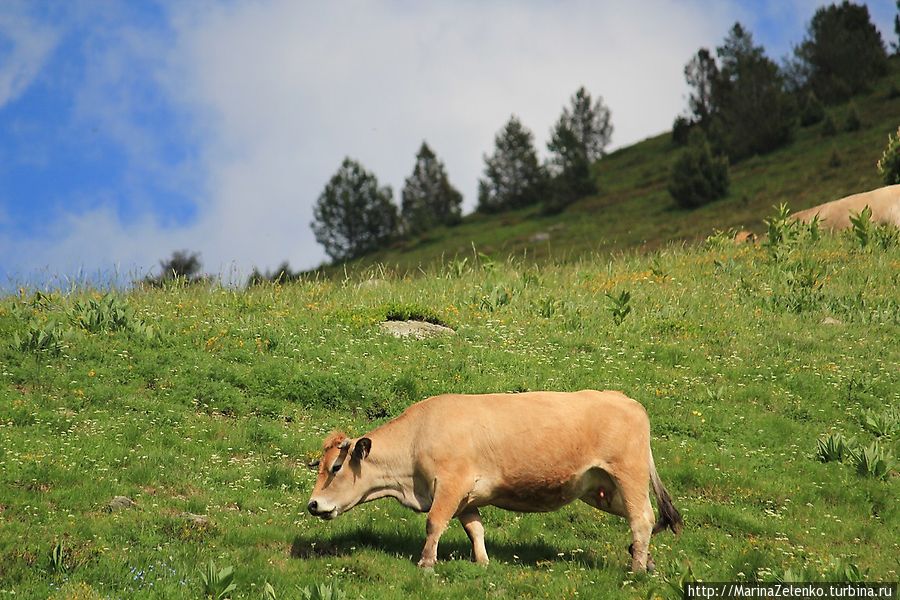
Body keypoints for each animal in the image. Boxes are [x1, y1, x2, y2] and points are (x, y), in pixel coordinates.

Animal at [308, 390, 684, 572]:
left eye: (336, 467)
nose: (313, 505)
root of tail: (625, 399)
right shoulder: (465, 496)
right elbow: (475, 529)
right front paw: (483, 562)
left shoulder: (451, 484)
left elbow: (434, 523)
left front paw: (426, 563)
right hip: (601, 489)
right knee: (648, 519)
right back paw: (645, 559)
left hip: (628, 473)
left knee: (642, 518)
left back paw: (636, 569)